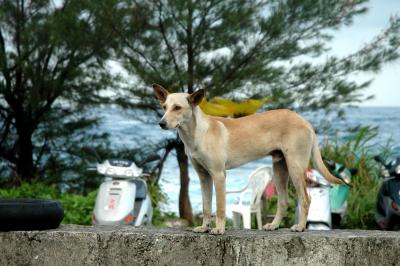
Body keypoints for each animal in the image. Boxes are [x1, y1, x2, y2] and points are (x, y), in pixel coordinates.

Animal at [152, 83, 342, 235]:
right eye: (164, 106)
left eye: (177, 107)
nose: (161, 123)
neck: (197, 133)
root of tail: (304, 121)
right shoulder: (204, 177)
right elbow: (206, 206)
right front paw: (204, 227)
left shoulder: (218, 175)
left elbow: (220, 207)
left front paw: (219, 229)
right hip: (280, 170)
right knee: (283, 201)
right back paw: (274, 225)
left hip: (295, 168)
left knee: (305, 199)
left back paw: (300, 227)